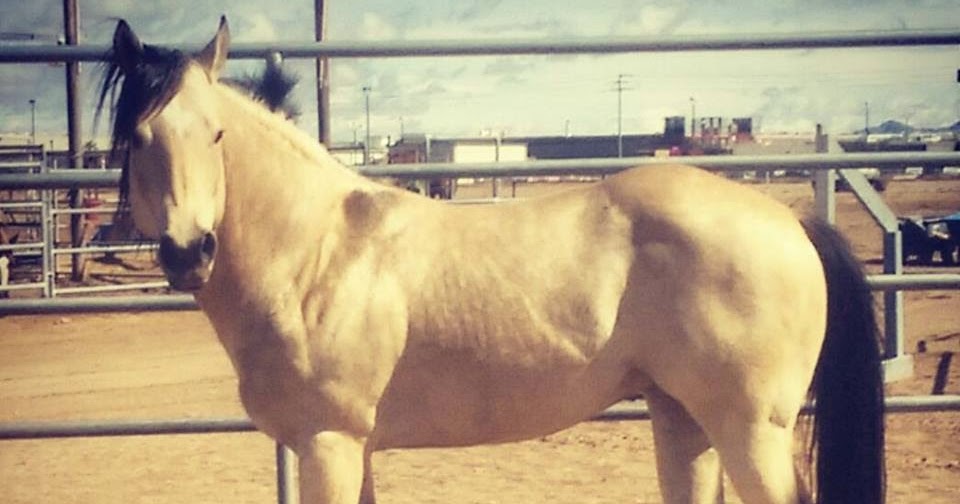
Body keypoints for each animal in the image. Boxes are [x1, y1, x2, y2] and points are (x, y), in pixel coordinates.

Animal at [97, 18, 885, 504]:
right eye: (137, 137)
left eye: (217, 134)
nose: (189, 251)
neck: (316, 255)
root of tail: (791, 219)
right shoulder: (352, 448)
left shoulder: (328, 444)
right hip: (683, 419)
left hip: (751, 430)